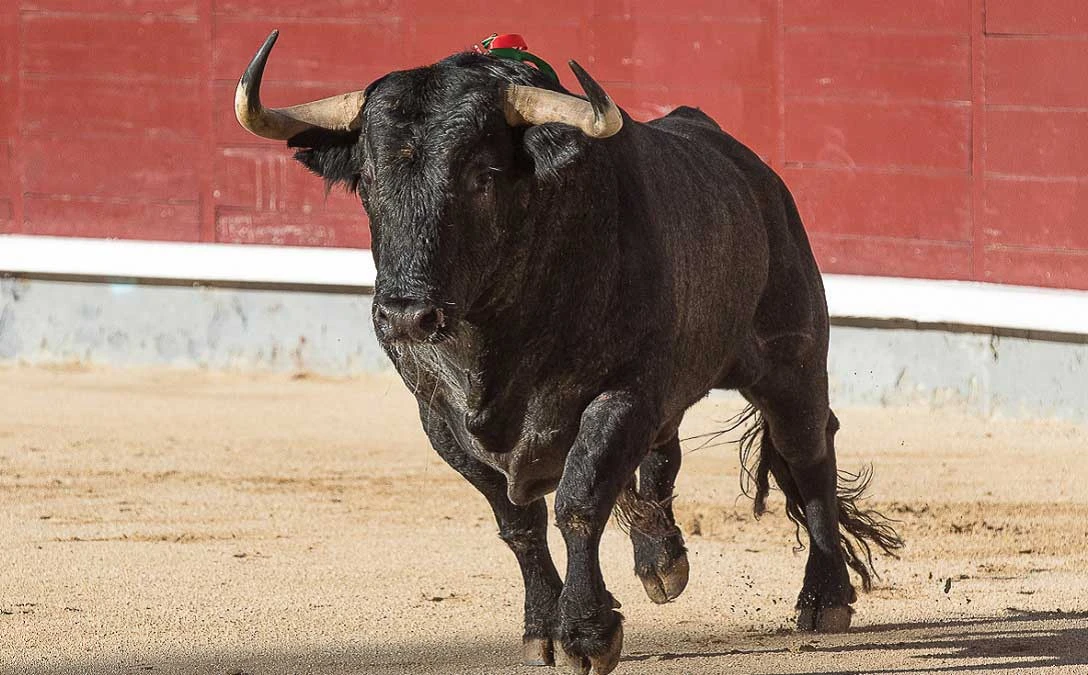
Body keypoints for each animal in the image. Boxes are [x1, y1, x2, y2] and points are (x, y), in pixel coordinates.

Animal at [236, 31, 900, 675]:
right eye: (369, 181)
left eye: (481, 176)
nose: (404, 315)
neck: (495, 337)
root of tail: (756, 174)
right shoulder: (440, 420)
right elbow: (517, 521)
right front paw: (542, 630)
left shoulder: (621, 393)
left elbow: (581, 500)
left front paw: (585, 632)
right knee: (666, 453)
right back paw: (662, 563)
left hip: (793, 362)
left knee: (808, 454)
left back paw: (824, 599)